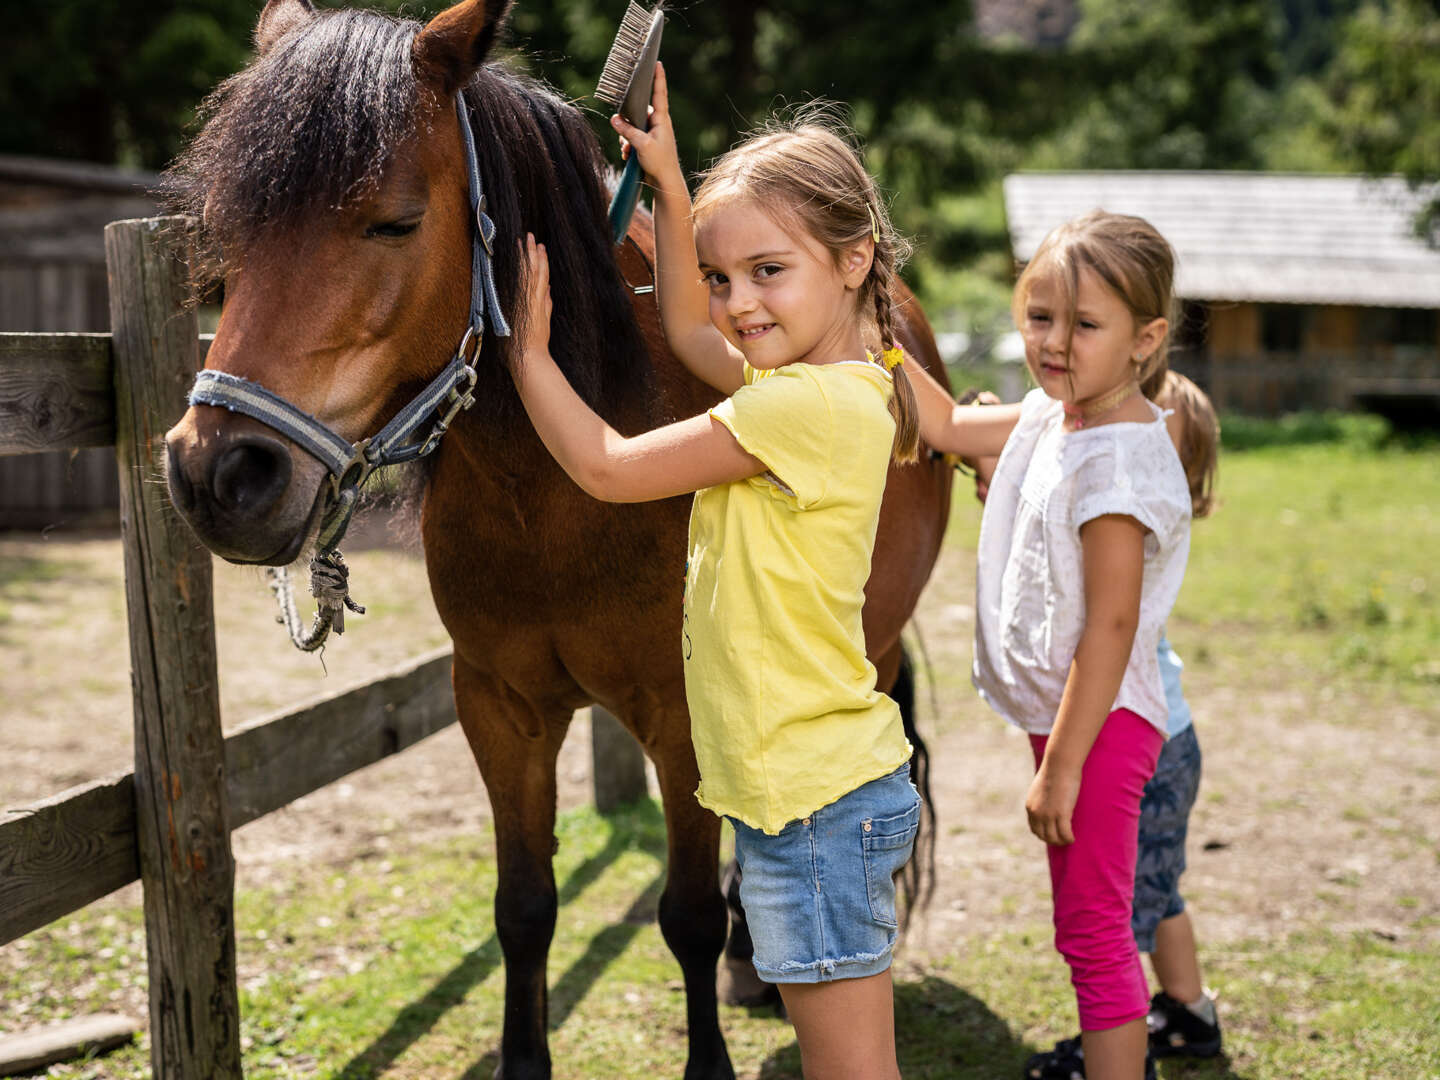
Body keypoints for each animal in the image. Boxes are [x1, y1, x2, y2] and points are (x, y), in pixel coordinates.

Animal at [163, 4, 950, 1077]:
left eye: (394, 221)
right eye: (229, 231)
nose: (219, 474)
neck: (552, 496)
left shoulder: (682, 715)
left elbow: (687, 913)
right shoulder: (500, 708)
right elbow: (525, 909)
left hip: (866, 646)